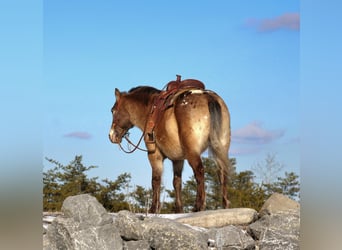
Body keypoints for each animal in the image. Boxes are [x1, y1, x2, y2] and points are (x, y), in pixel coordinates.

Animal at [109, 78, 232, 213]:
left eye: (113, 111)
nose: (111, 135)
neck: (150, 110)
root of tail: (208, 98)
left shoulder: (154, 155)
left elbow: (156, 180)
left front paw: (153, 209)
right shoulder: (177, 160)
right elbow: (176, 182)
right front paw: (178, 209)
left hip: (192, 152)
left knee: (199, 171)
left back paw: (198, 206)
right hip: (221, 148)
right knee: (222, 172)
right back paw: (225, 205)